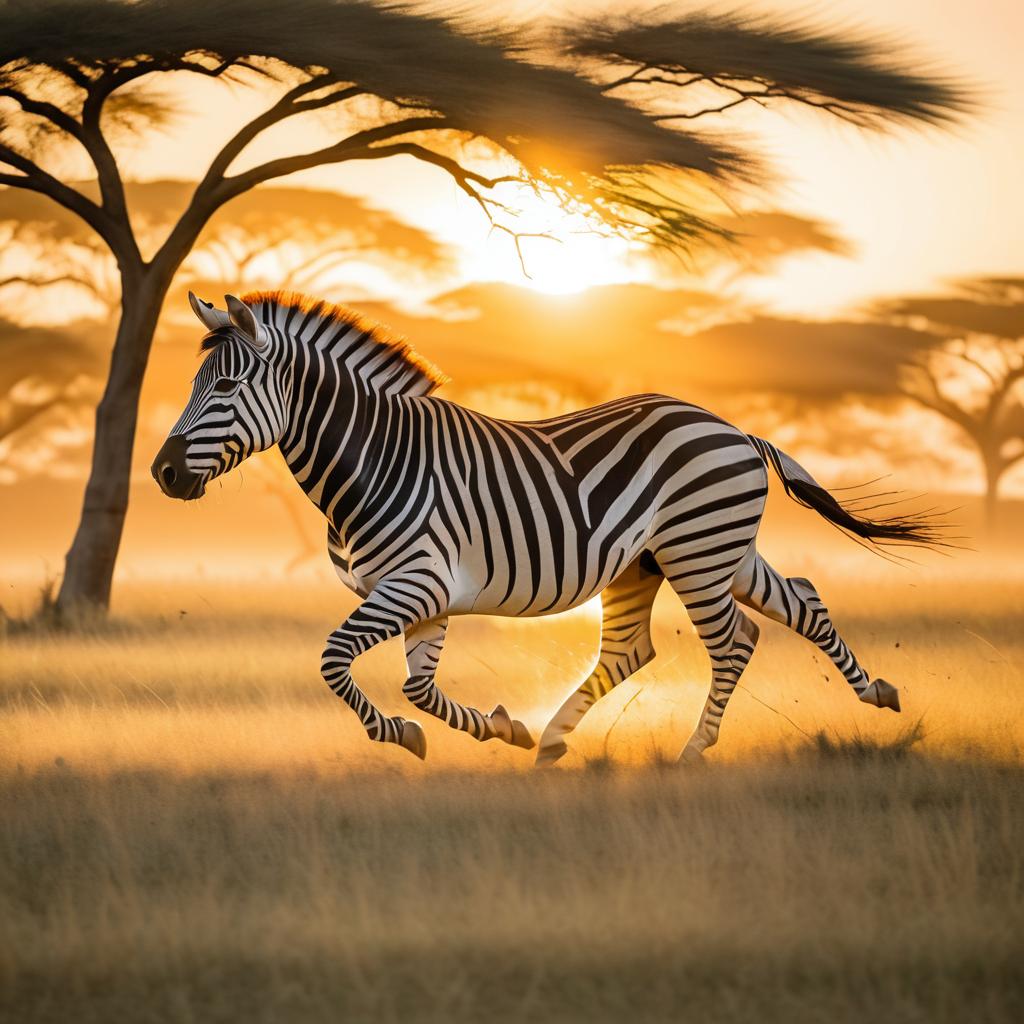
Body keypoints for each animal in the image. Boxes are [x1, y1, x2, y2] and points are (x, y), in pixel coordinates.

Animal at [151, 292, 937, 765]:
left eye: (226, 387)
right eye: (196, 386)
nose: (161, 474)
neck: (376, 460)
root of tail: (731, 426)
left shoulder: (416, 583)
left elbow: (336, 660)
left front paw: (403, 737)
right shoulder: (423, 598)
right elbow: (418, 686)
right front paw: (502, 727)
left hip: (698, 551)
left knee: (734, 638)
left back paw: (692, 750)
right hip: (687, 554)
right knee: (781, 605)